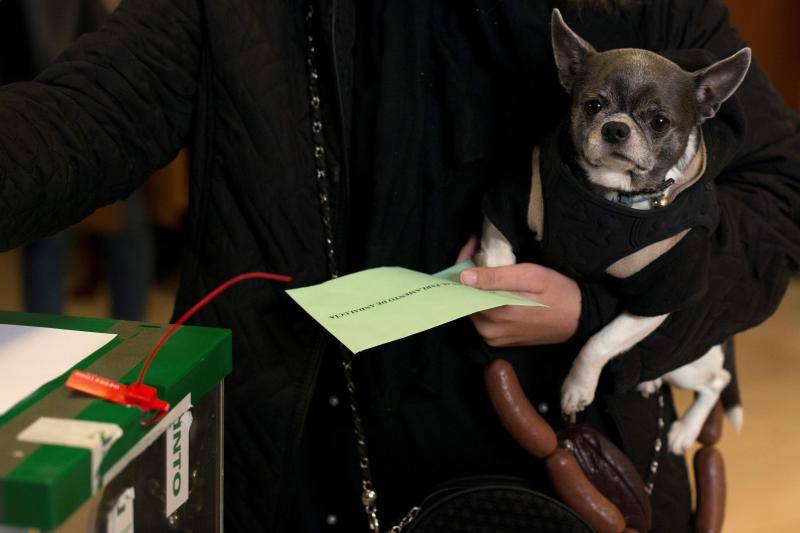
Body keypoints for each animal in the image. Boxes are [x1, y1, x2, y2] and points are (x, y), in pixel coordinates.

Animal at [476, 10, 752, 454]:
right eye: (593, 106)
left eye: (659, 122)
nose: (616, 128)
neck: (610, 197)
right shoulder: (513, 198)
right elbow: (498, 249)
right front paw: (493, 280)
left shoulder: (655, 300)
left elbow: (599, 342)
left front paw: (576, 389)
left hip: (688, 363)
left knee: (717, 380)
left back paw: (685, 430)